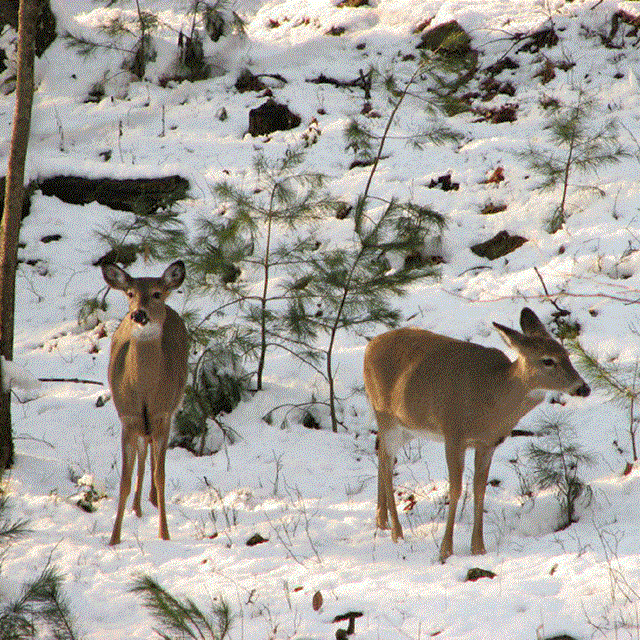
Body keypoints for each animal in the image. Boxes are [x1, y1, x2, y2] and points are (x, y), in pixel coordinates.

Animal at [101, 260, 189, 544]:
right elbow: (125, 481)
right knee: (143, 452)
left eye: (157, 293)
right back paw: (138, 507)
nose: (138, 314)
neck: (145, 390)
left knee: (151, 451)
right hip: (140, 423)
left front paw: (164, 534)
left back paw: (150, 501)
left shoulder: (162, 414)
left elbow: (161, 476)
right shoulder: (128, 418)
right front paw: (114, 538)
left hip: (173, 405)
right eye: (130, 293)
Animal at [364, 308, 592, 564]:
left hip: (408, 427)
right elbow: (455, 489)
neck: (492, 399)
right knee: (386, 463)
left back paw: (382, 521)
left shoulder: (488, 443)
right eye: (548, 360)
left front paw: (478, 549)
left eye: (567, 354)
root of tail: (369, 346)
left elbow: (479, 488)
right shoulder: (453, 434)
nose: (583, 388)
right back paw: (397, 532)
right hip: (387, 416)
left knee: (381, 453)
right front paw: (446, 550)